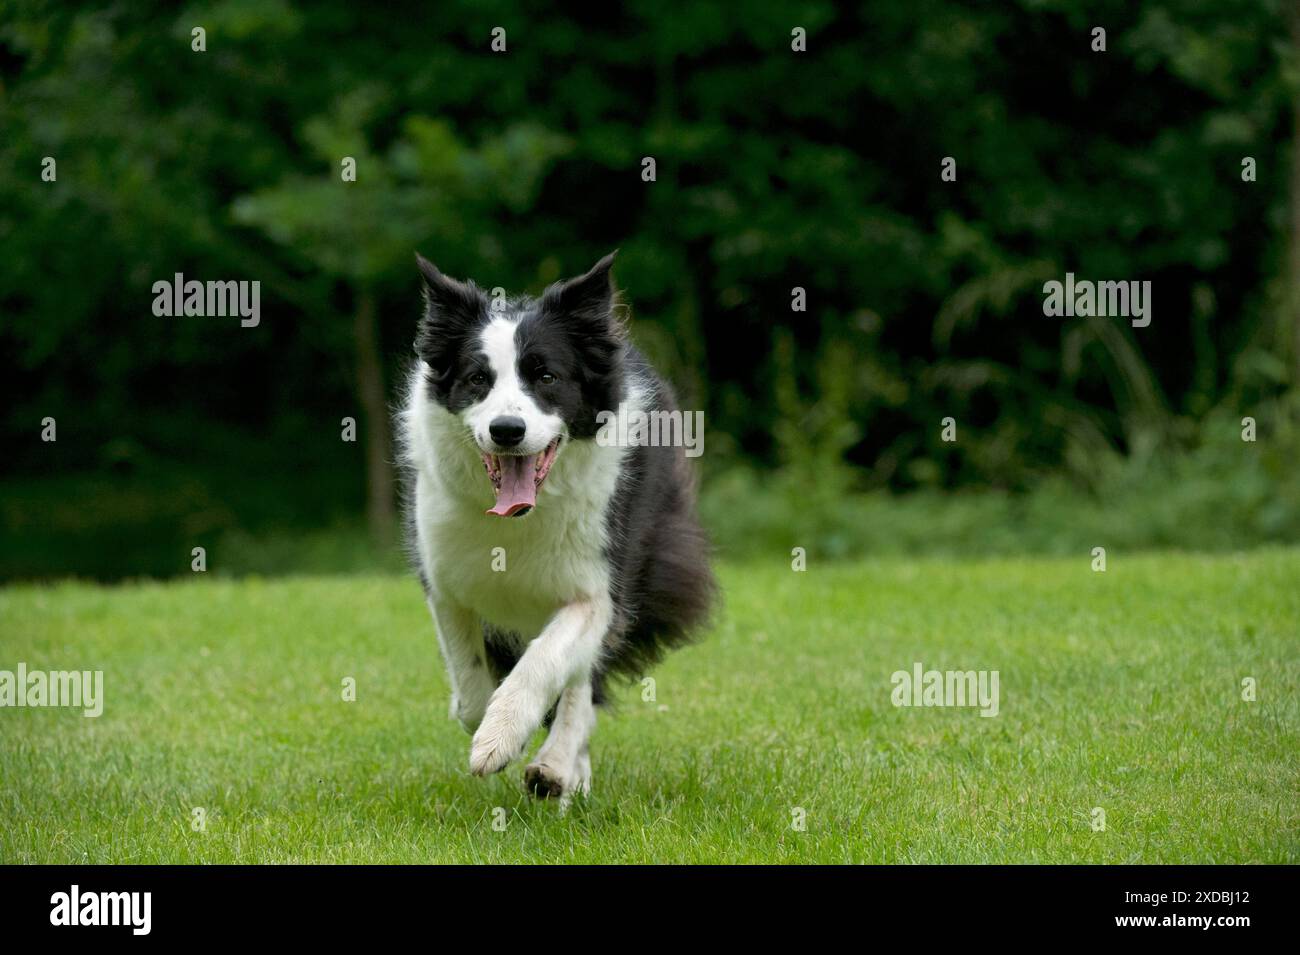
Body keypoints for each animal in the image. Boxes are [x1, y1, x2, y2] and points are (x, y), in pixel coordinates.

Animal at [397, 252, 717, 800]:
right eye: (477, 379)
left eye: (545, 376)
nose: (507, 430)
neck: (518, 519)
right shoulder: (444, 582)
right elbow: (469, 686)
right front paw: (491, 724)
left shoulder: (598, 590)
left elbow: (546, 663)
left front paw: (503, 740)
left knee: (580, 682)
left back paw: (557, 766)